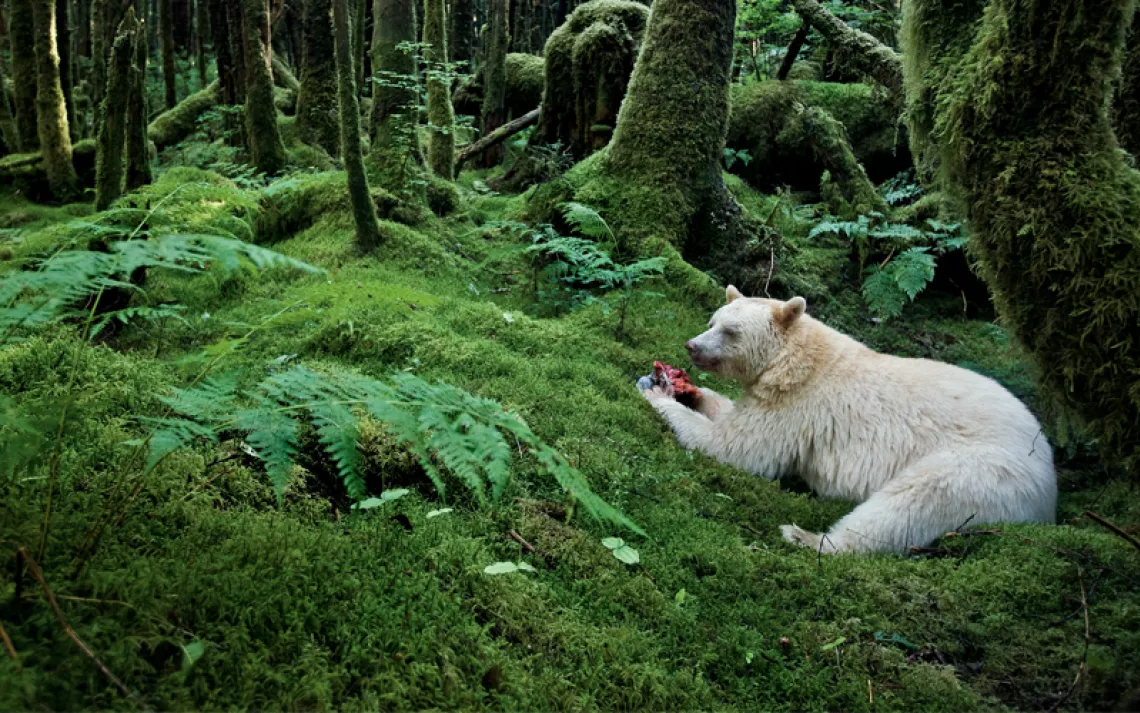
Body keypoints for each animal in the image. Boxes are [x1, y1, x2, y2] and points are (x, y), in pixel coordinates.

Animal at [640, 286, 1057, 554]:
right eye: (712, 320)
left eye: (730, 331)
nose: (692, 346)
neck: (794, 358)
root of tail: (1050, 485)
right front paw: (689, 390)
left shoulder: (798, 405)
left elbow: (739, 448)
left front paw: (657, 393)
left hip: (985, 471)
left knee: (913, 502)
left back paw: (807, 538)